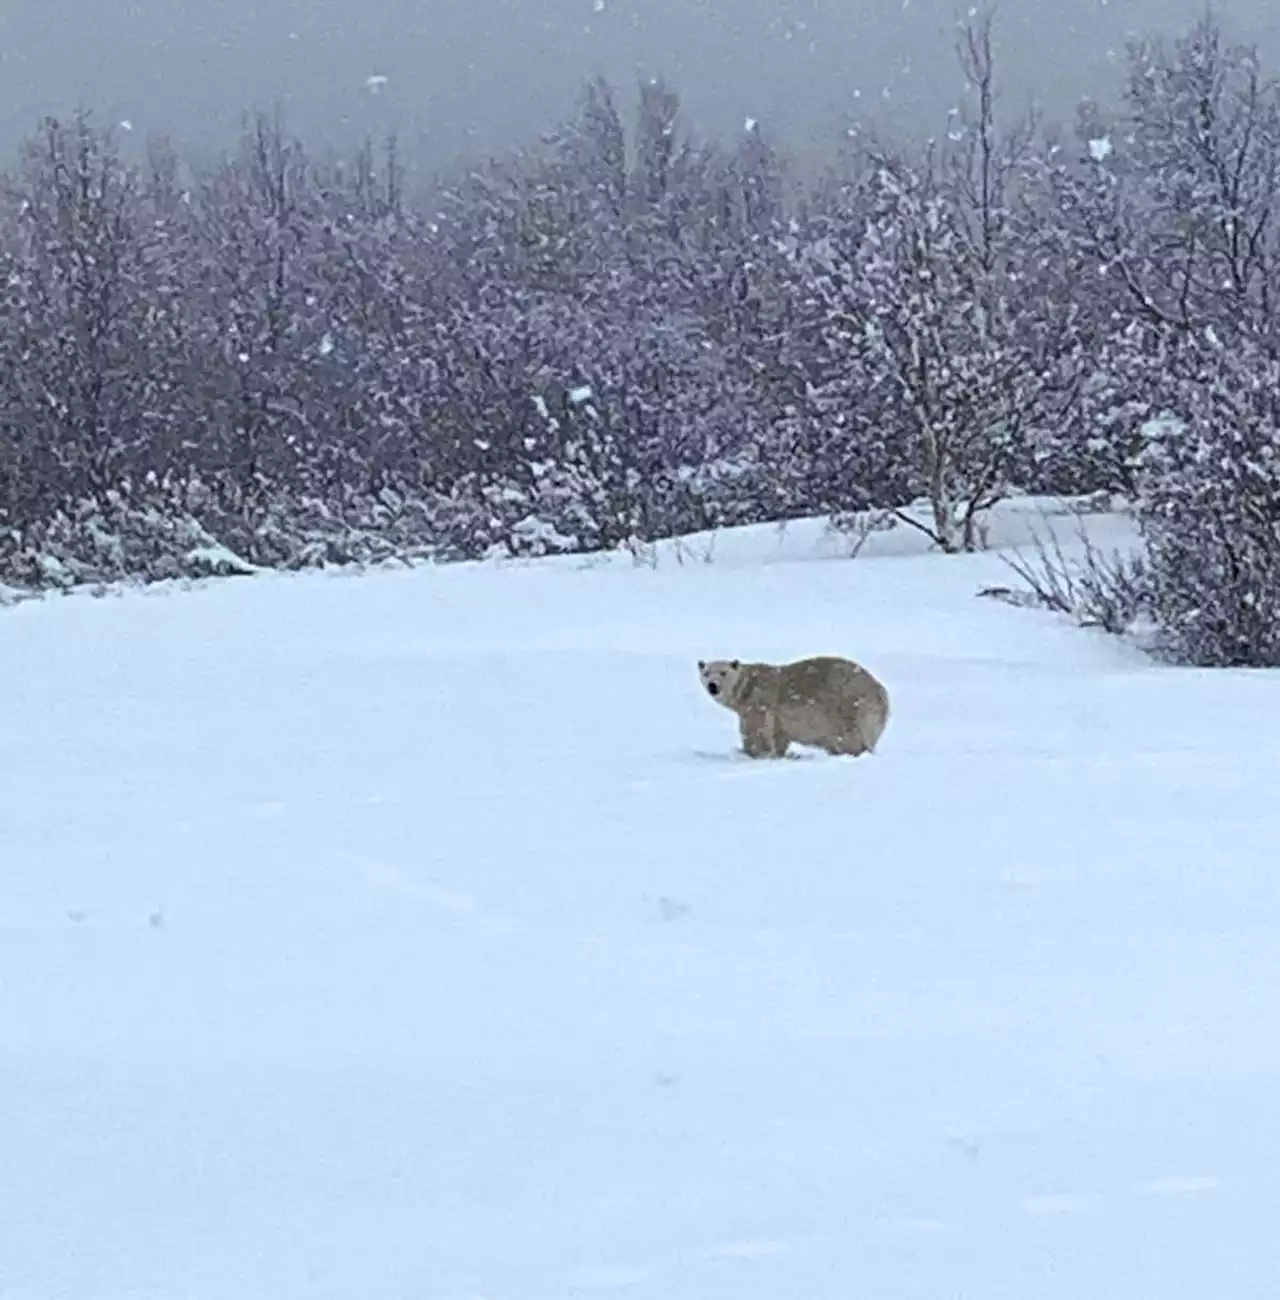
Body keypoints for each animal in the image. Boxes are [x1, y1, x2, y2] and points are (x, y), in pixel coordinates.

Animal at [701, 655, 888, 759]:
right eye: (706, 673)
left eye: (723, 673)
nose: (713, 686)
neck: (748, 687)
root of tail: (881, 693)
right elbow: (778, 736)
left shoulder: (759, 704)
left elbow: (756, 732)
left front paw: (751, 753)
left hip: (848, 708)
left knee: (849, 738)